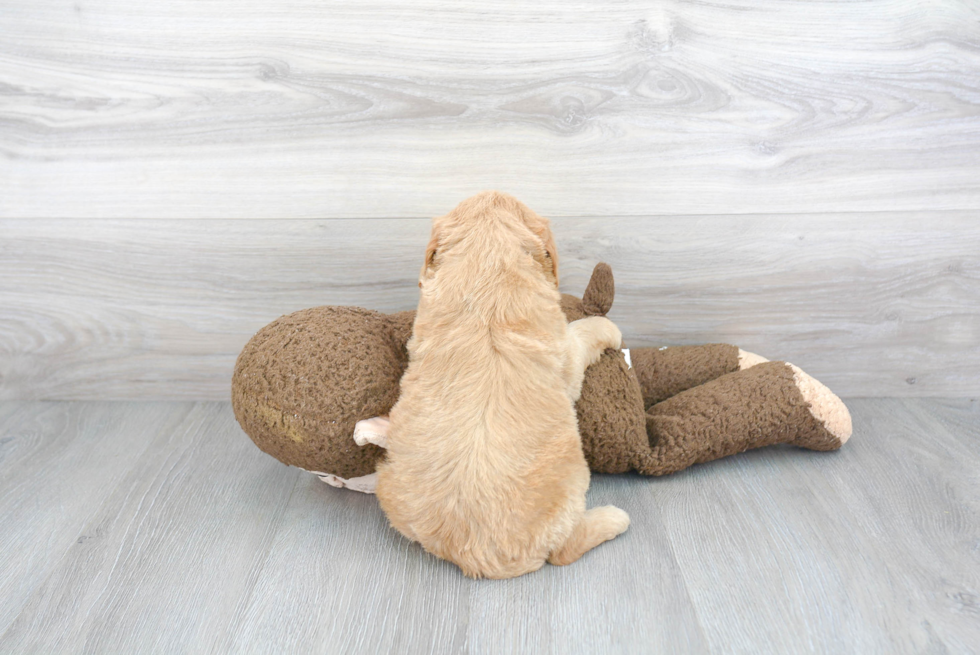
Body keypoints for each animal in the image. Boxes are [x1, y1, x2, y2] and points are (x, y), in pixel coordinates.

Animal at [376, 193, 628, 580]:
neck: (487, 265)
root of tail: (475, 557)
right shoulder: (566, 355)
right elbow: (583, 332)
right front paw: (608, 329)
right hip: (571, 487)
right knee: (564, 550)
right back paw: (613, 518)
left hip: (389, 485)